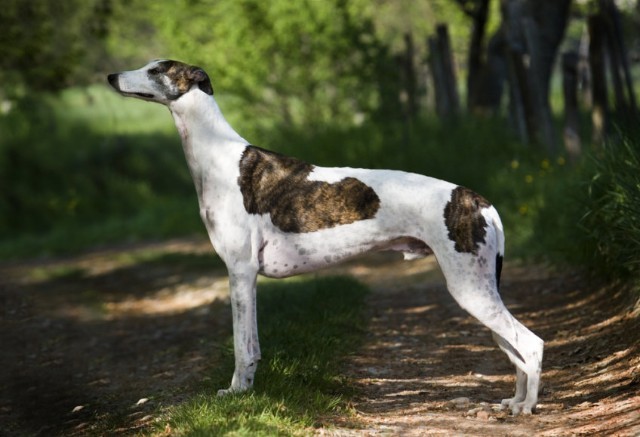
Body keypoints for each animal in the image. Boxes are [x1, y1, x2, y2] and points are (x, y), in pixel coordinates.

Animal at [107, 59, 543, 415]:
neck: (218, 155)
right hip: (480, 286)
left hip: (468, 286)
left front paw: (238, 394)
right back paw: (515, 402)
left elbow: (242, 346)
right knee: (516, 349)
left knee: (531, 343)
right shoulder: (245, 278)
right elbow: (254, 345)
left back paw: (527, 408)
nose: (110, 77)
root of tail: (482, 202)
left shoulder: (240, 273)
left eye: (156, 69)